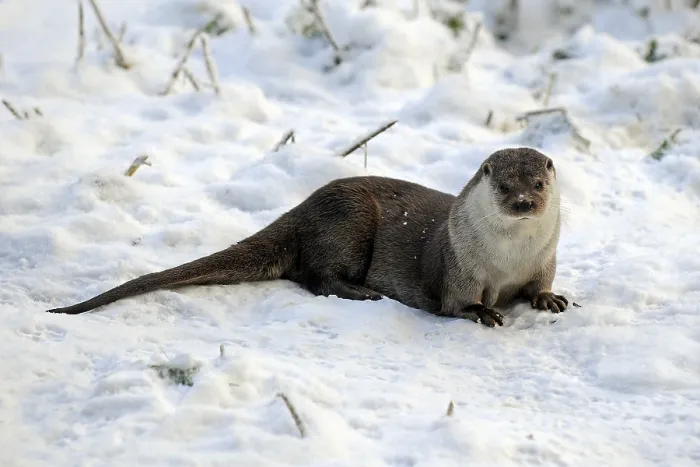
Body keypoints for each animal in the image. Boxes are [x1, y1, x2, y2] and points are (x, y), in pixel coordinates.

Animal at [46, 147, 569, 327]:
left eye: (537, 183)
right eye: (504, 185)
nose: (524, 203)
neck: (507, 261)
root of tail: (303, 207)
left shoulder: (545, 258)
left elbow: (541, 283)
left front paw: (549, 299)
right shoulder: (461, 266)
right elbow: (457, 303)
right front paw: (483, 311)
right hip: (350, 220)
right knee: (317, 276)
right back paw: (361, 293)